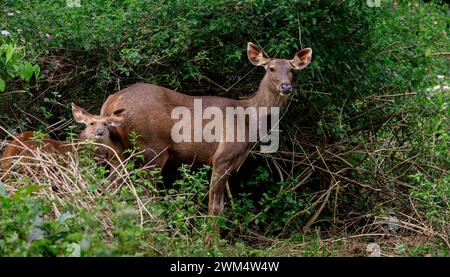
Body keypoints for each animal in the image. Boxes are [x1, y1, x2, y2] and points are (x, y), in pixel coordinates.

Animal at [101, 41, 312, 244]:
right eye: (271, 68)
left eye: (291, 69)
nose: (286, 87)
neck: (248, 118)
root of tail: (111, 103)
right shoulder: (222, 157)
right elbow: (215, 206)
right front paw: (211, 245)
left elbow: (220, 206)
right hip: (152, 147)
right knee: (144, 193)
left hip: (117, 148)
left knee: (111, 185)